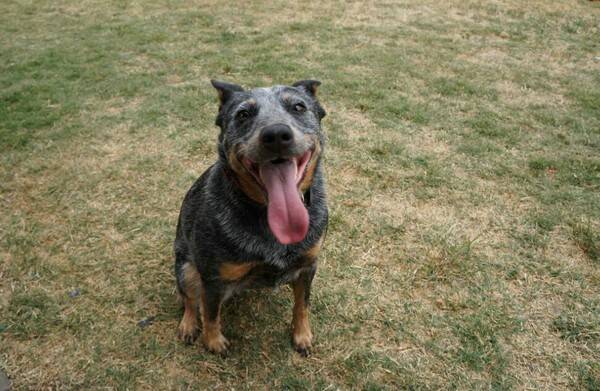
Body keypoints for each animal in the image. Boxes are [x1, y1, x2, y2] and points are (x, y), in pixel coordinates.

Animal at [173, 79, 330, 356]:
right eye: (243, 114)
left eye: (298, 107)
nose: (276, 134)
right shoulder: (212, 277)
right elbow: (210, 313)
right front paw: (214, 342)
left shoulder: (308, 266)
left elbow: (302, 304)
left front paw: (302, 335)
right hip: (186, 267)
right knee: (190, 299)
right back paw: (188, 325)